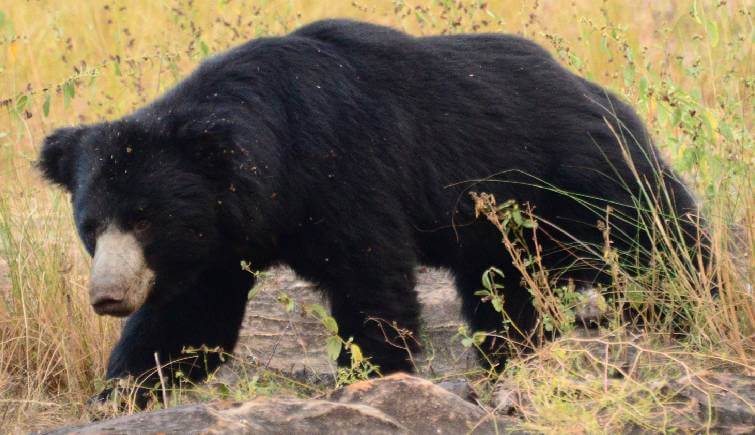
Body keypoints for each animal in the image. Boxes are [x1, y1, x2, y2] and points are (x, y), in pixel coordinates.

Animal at [38, 19, 700, 402]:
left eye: (146, 219)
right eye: (91, 228)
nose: (108, 297)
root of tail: (607, 96)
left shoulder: (344, 170)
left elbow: (370, 282)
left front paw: (368, 380)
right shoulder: (220, 242)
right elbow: (190, 321)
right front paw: (120, 394)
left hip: (581, 182)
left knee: (654, 252)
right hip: (503, 231)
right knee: (507, 296)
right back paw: (505, 364)